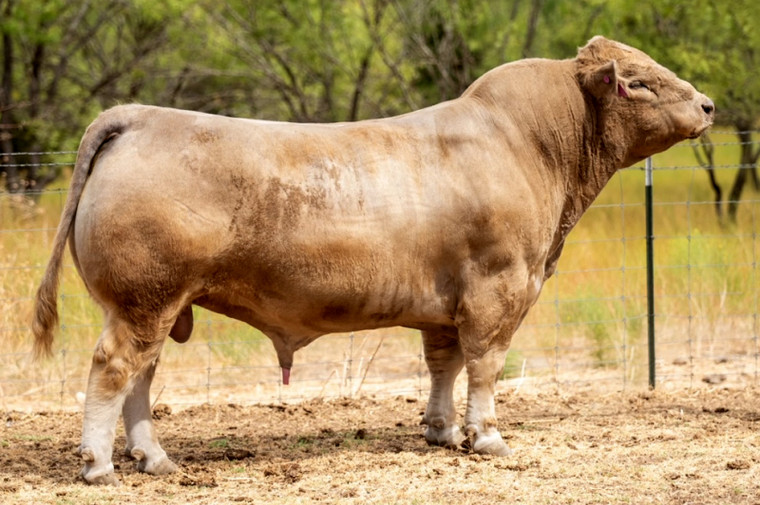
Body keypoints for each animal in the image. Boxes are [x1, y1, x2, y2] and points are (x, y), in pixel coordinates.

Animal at [32, 36, 713, 485]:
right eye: (639, 81)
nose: (707, 105)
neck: (532, 146)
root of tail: (138, 116)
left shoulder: (445, 304)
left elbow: (443, 365)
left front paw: (441, 431)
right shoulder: (499, 288)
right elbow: (486, 366)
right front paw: (488, 437)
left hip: (155, 304)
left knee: (140, 378)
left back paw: (156, 459)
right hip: (142, 300)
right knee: (112, 370)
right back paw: (99, 465)